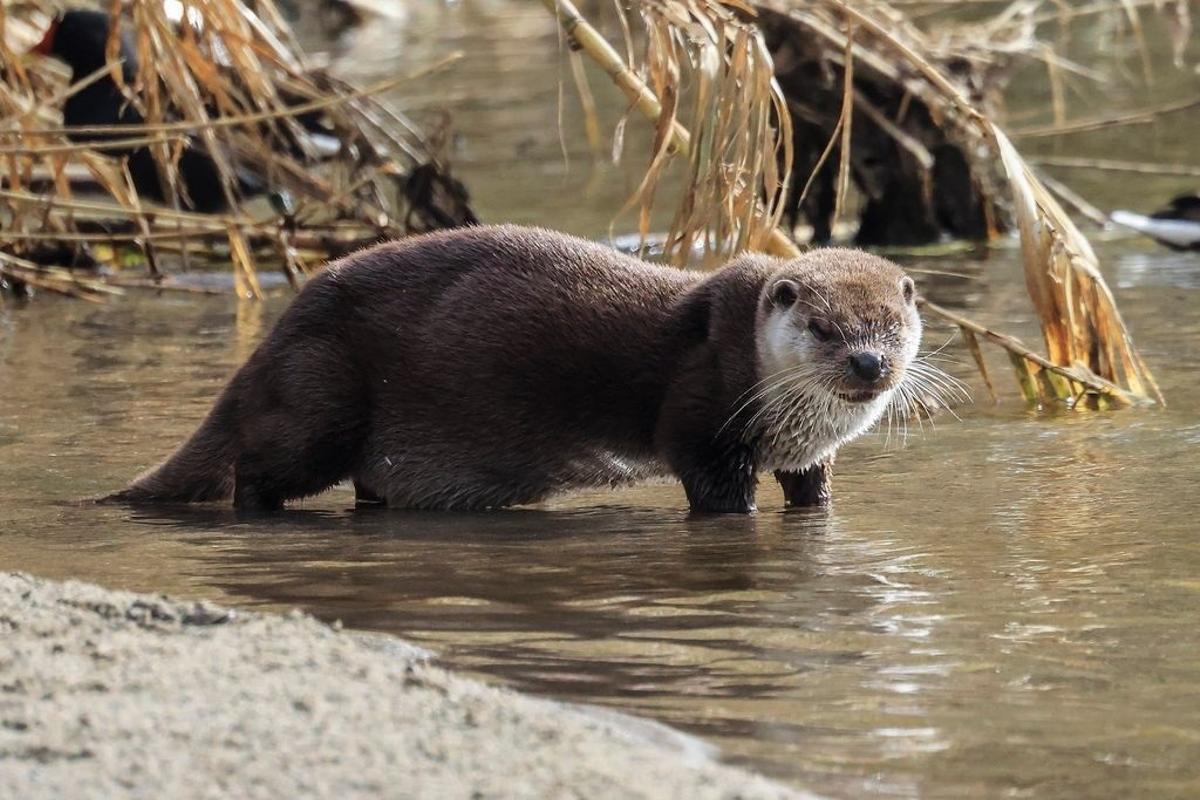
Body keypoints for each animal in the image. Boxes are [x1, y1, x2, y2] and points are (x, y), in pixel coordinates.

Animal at [108, 225, 921, 513]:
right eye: (823, 327)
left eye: (891, 324)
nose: (868, 361)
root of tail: (279, 333)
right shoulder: (701, 418)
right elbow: (717, 493)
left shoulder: (809, 455)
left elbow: (811, 495)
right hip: (321, 395)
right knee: (260, 466)